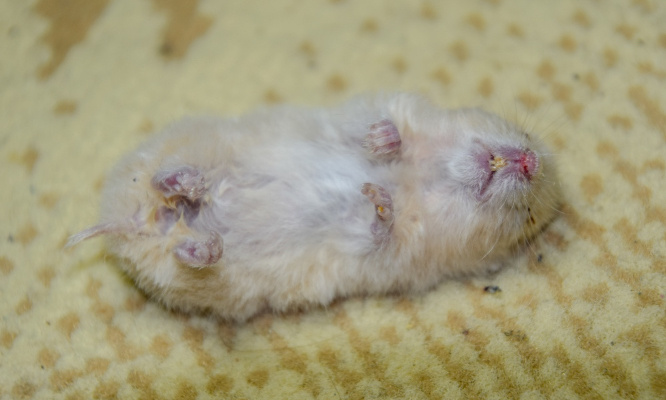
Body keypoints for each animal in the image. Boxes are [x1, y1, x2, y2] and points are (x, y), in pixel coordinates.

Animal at [68, 93, 560, 322]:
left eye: (528, 218)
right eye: (526, 134)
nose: (529, 161)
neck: (432, 176)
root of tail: (129, 224)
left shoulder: (395, 258)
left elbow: (380, 232)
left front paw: (379, 202)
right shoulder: (372, 108)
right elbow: (373, 130)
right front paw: (384, 143)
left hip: (198, 282)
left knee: (186, 255)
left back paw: (203, 240)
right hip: (166, 152)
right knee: (157, 177)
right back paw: (189, 184)